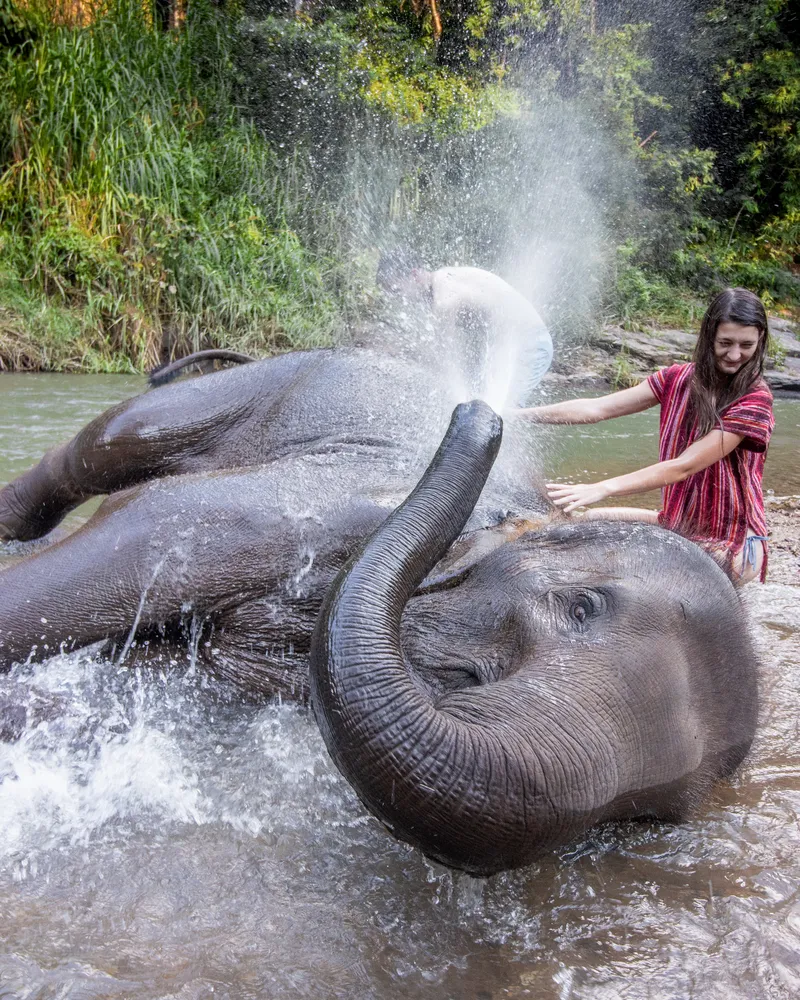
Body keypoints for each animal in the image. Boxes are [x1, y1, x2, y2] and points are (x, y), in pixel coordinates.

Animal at [0, 346, 756, 876]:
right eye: (581, 606)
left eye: (644, 819)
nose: (476, 413)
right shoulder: (294, 513)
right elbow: (145, 526)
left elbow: (161, 680)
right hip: (243, 390)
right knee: (98, 451)